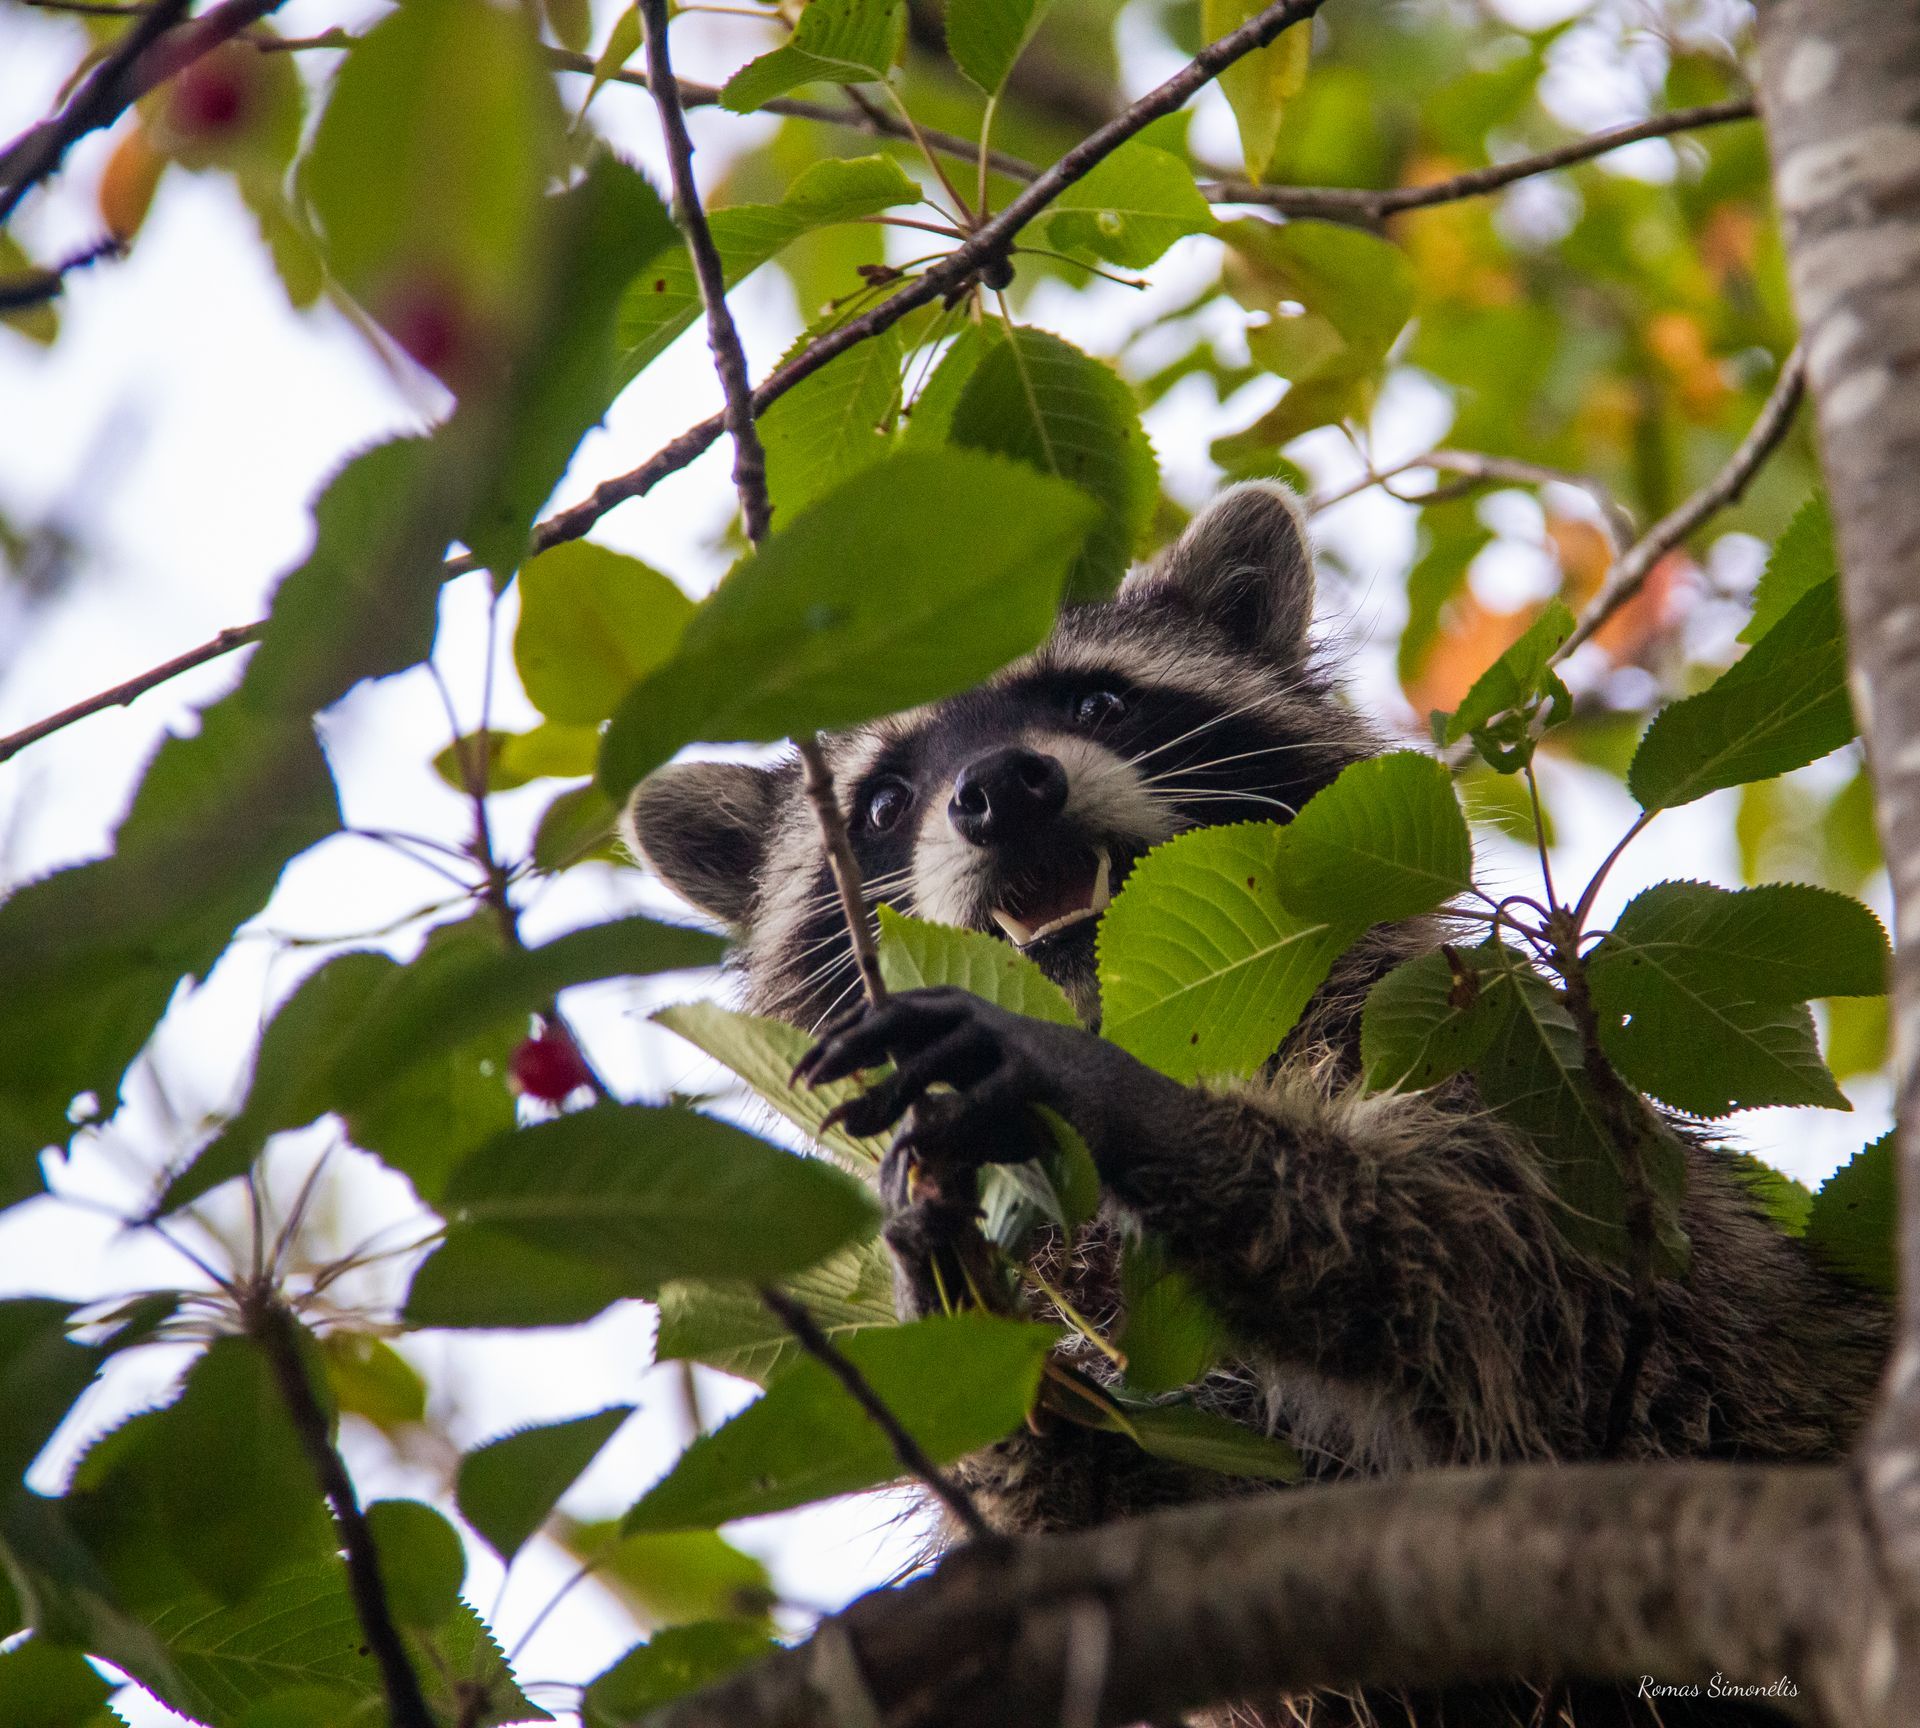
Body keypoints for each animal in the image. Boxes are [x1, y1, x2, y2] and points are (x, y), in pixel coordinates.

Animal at [625, 480, 1889, 1720]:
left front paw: (1124, 1102)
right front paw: (964, 1305)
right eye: (885, 803)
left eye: (1098, 700)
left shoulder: (1508, 1081)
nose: (1000, 790)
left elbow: (1508, 1261)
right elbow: (1107, 1522)